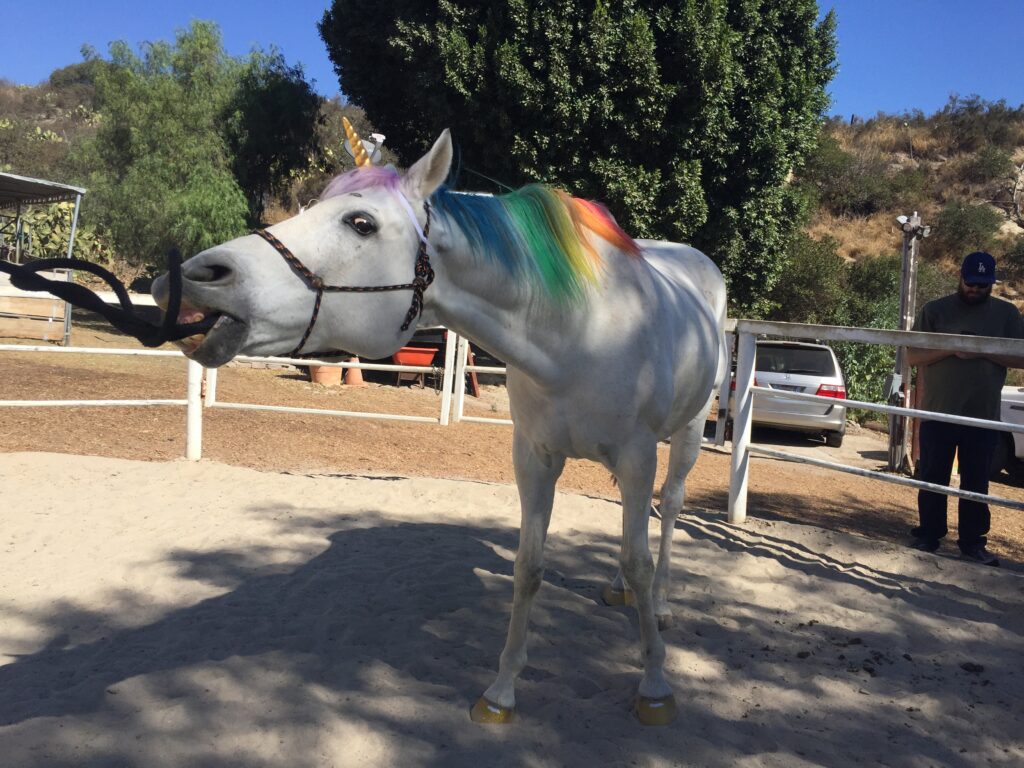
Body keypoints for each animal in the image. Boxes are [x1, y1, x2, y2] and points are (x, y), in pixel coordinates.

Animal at [151, 126, 729, 729]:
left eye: (361, 222)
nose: (190, 279)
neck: (579, 333)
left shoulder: (638, 458)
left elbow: (639, 560)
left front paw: (655, 684)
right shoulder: (535, 456)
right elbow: (530, 567)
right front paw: (502, 691)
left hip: (686, 437)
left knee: (669, 513)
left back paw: (659, 605)